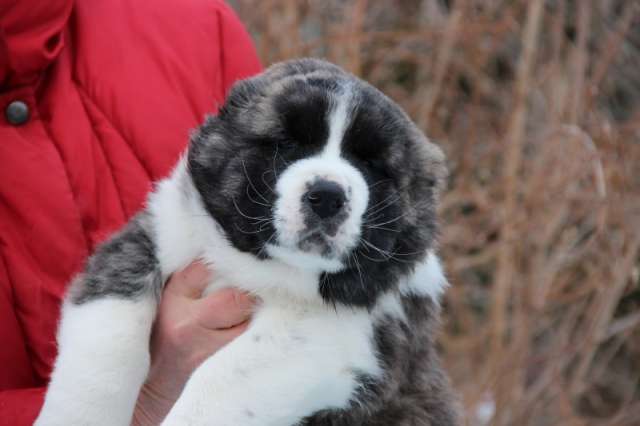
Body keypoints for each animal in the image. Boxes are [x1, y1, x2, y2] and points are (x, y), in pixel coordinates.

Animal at [35, 58, 458, 424]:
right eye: (287, 144)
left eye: (370, 165)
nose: (327, 196)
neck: (260, 265)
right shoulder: (148, 238)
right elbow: (110, 334)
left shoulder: (342, 334)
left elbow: (222, 378)